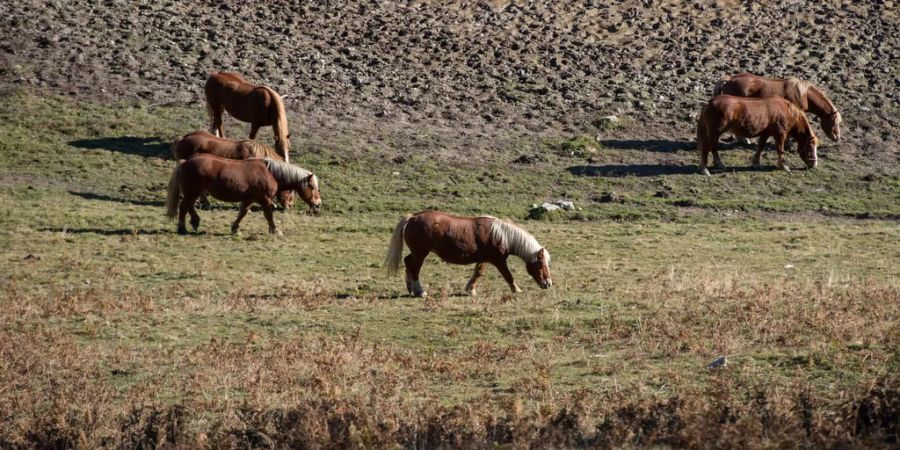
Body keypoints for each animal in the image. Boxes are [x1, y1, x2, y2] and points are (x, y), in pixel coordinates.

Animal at [163, 154, 322, 234]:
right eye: (312, 186)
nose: (318, 204)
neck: (270, 173)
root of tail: (185, 162)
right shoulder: (265, 200)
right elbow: (269, 215)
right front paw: (275, 230)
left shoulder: (249, 199)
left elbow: (242, 213)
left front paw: (235, 228)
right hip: (192, 192)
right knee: (184, 207)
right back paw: (182, 228)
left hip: (194, 192)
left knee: (189, 206)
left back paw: (195, 222)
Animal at [384, 212, 552, 298]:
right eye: (541, 264)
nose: (548, 284)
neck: (501, 235)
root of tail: (412, 217)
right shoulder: (498, 260)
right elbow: (508, 275)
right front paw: (516, 289)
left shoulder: (484, 259)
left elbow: (478, 273)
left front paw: (470, 289)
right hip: (421, 253)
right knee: (415, 269)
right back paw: (420, 291)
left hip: (417, 253)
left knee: (408, 262)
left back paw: (410, 288)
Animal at [696, 95, 824, 176]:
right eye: (810, 147)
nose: (814, 164)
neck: (786, 111)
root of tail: (709, 103)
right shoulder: (780, 135)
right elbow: (780, 150)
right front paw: (783, 166)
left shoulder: (765, 133)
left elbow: (760, 147)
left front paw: (756, 163)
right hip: (714, 133)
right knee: (707, 148)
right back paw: (704, 169)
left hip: (716, 133)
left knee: (713, 147)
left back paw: (719, 164)